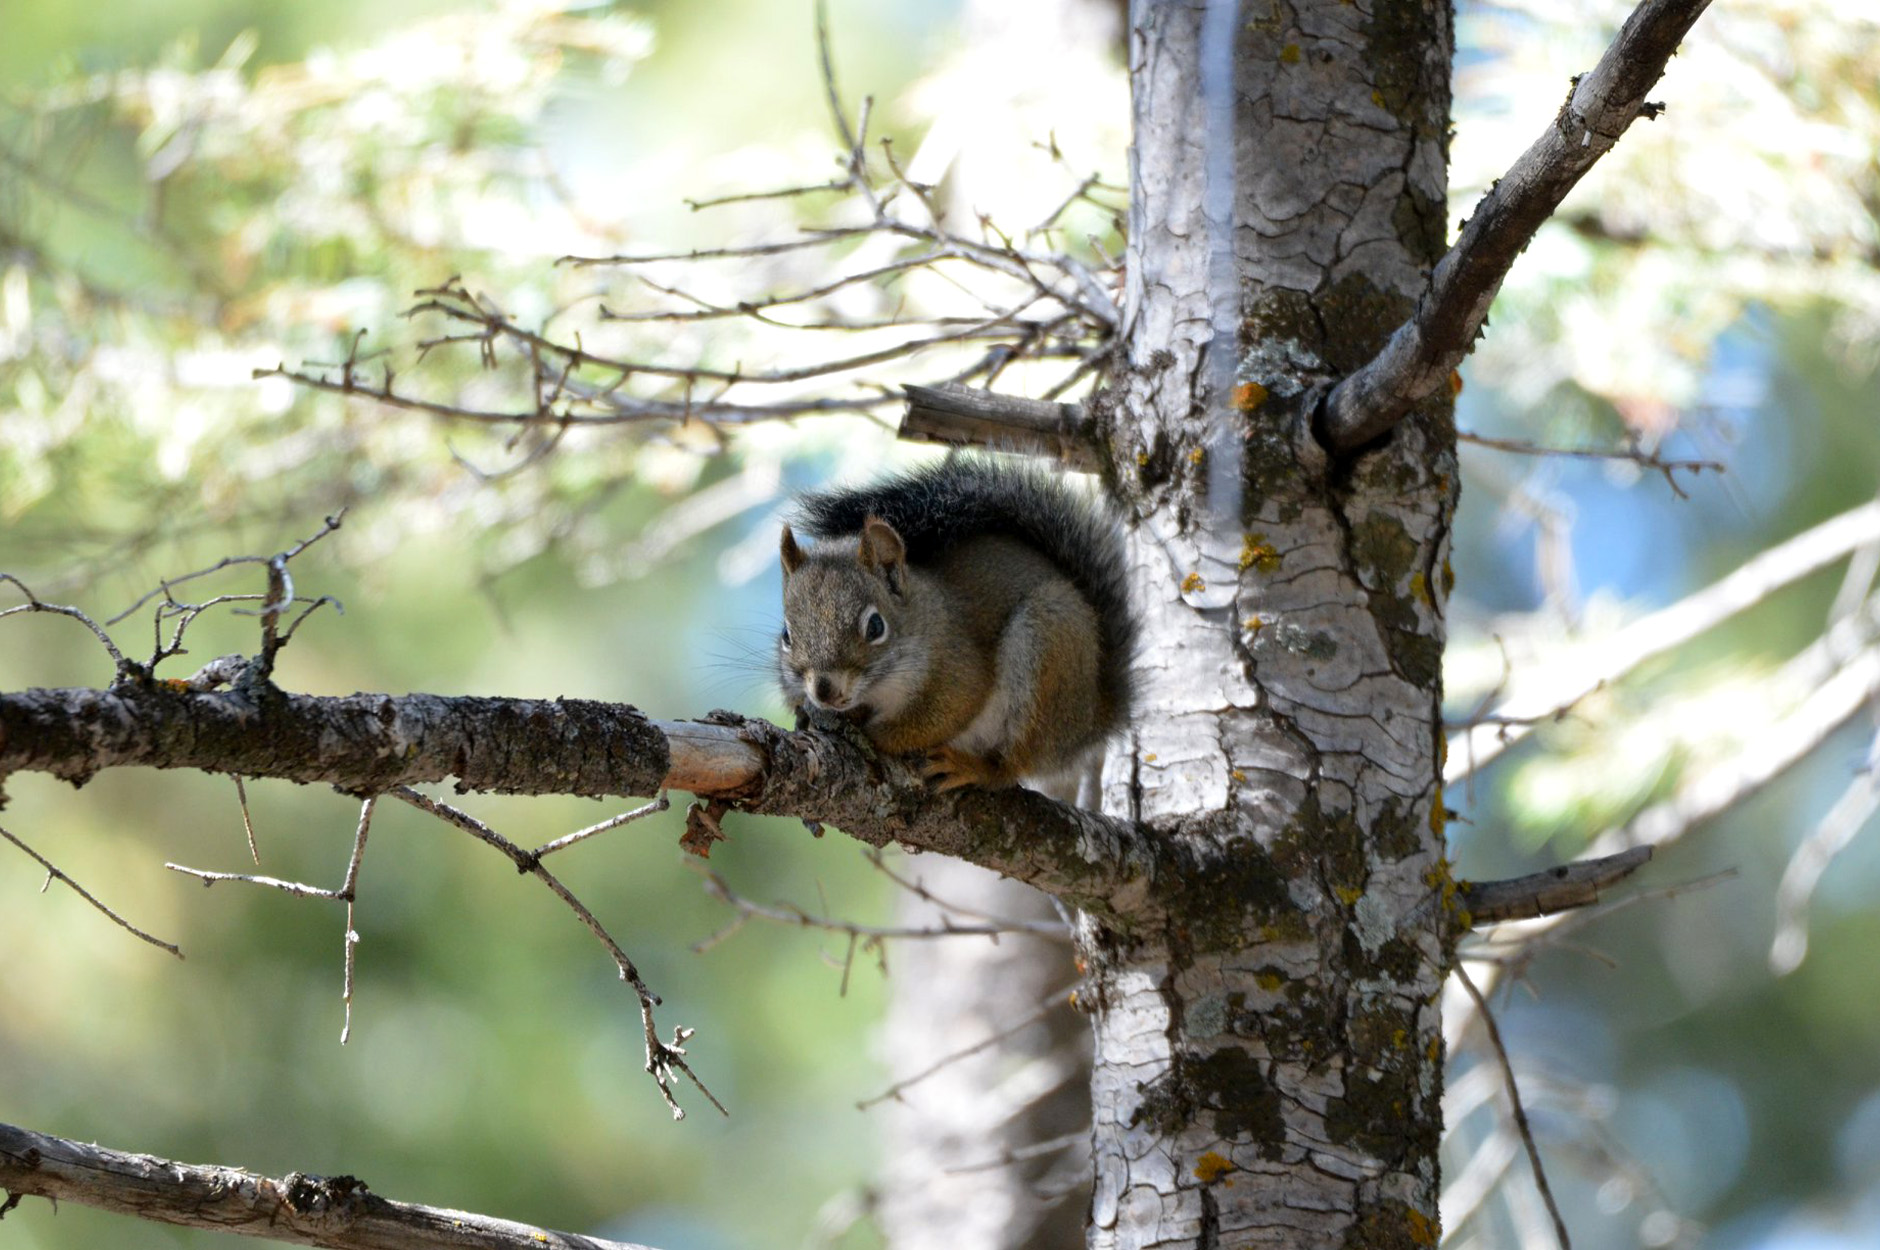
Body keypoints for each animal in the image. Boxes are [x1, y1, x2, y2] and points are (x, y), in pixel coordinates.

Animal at [774, 458, 1128, 789]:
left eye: (875, 627)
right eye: (786, 635)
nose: (824, 691)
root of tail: (1094, 715)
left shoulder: (957, 664)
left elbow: (944, 713)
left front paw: (872, 735)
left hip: (1051, 645)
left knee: (1013, 765)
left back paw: (973, 768)